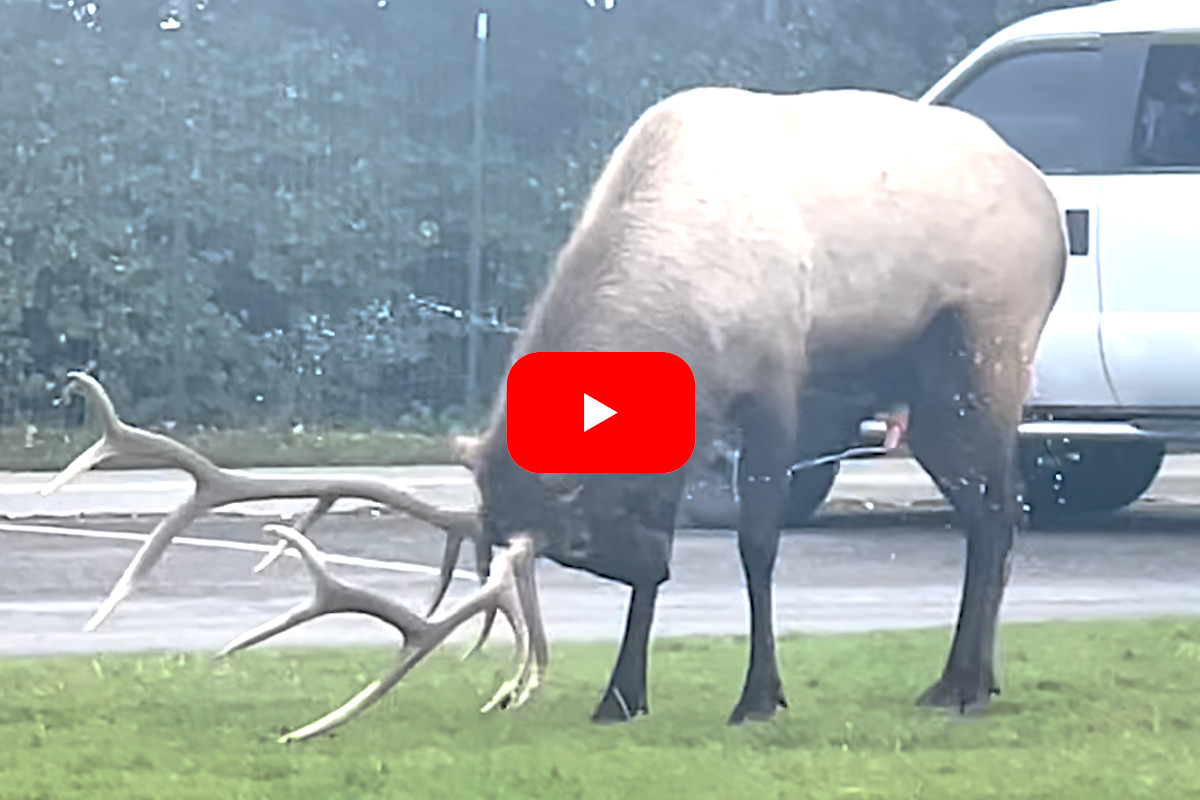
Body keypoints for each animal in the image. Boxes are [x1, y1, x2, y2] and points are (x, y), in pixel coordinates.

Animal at [43, 86, 1066, 741]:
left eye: (571, 537)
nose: (645, 559)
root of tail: (1050, 204)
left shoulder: (779, 385)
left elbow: (758, 543)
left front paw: (756, 698)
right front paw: (621, 695)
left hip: (986, 349)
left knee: (1002, 507)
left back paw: (965, 685)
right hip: (923, 397)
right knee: (990, 509)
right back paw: (965, 678)